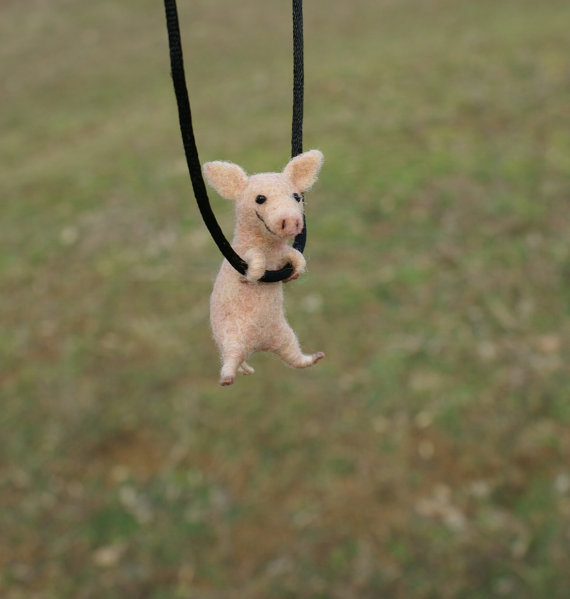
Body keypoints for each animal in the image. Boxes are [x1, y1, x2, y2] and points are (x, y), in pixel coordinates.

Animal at [202, 148, 322, 386]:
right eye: (260, 199)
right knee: (231, 358)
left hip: (284, 335)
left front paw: (293, 274)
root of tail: (256, 345)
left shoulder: (282, 254)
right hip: (231, 335)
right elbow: (255, 258)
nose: (292, 221)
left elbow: (296, 257)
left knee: (294, 356)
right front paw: (249, 277)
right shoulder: (245, 252)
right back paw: (227, 378)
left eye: (297, 197)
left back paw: (315, 358)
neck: (270, 248)